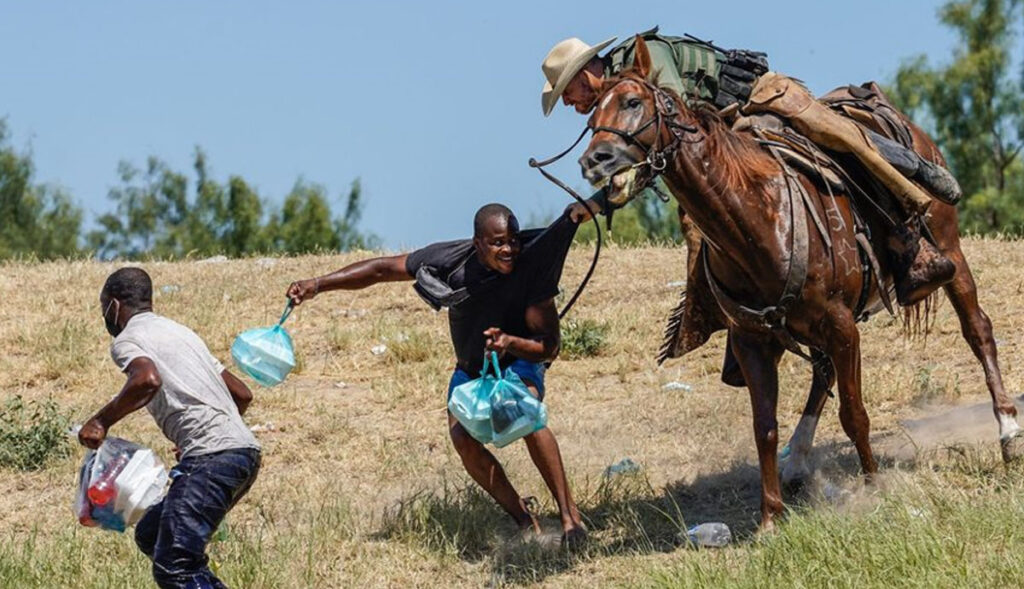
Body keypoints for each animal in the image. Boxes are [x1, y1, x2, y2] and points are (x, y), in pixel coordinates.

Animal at [581, 39, 1019, 532]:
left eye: (633, 102)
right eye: (591, 116)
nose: (593, 160)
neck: (758, 219)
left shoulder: (842, 325)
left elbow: (854, 414)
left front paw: (874, 488)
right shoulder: (753, 341)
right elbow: (765, 427)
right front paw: (770, 517)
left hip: (950, 251)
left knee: (978, 330)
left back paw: (1007, 432)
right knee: (822, 372)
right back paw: (797, 462)